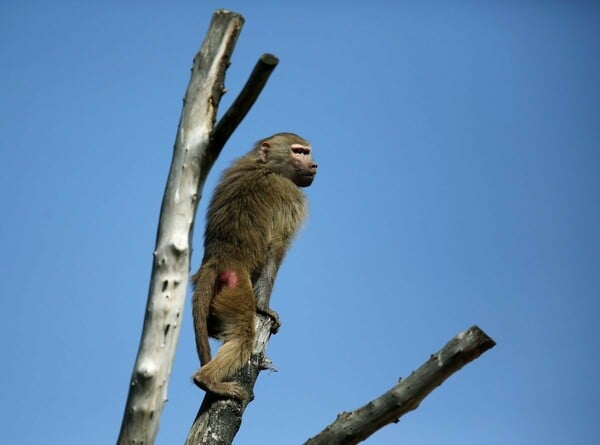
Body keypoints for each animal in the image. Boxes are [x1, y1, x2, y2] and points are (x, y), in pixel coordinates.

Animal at [192, 132, 316, 398]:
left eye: (307, 152)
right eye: (298, 152)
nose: (314, 165)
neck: (265, 166)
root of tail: (218, 259)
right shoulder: (290, 194)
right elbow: (275, 249)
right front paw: (264, 309)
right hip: (236, 290)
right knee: (242, 339)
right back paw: (206, 380)